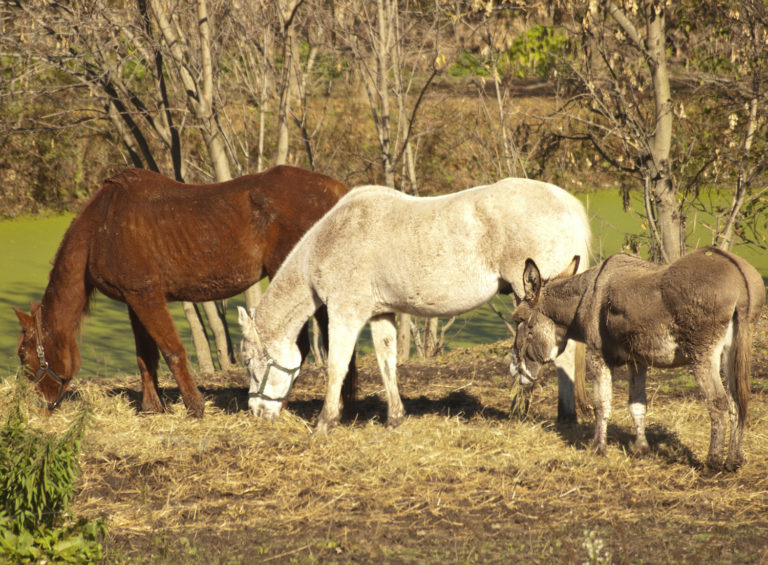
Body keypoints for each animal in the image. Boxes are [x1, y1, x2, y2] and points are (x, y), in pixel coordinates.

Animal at [15, 165, 357, 417]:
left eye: (22, 355)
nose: (40, 408)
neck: (101, 227)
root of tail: (338, 191)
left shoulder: (147, 297)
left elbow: (172, 351)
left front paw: (194, 406)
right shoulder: (134, 300)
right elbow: (145, 356)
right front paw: (151, 408)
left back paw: (283, 403)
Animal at [237, 177, 592, 434]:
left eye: (249, 362)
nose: (255, 412)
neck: (331, 240)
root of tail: (564, 200)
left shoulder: (345, 313)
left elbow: (336, 366)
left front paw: (325, 422)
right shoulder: (380, 313)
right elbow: (387, 362)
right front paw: (395, 418)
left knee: (561, 354)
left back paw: (560, 415)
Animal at [509, 247, 765, 471]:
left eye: (518, 320)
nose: (514, 368)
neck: (585, 297)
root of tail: (739, 276)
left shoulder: (598, 355)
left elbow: (601, 403)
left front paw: (598, 449)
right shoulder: (637, 361)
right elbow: (637, 404)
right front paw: (641, 448)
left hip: (702, 354)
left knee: (718, 402)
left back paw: (713, 462)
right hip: (732, 351)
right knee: (736, 401)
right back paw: (734, 461)